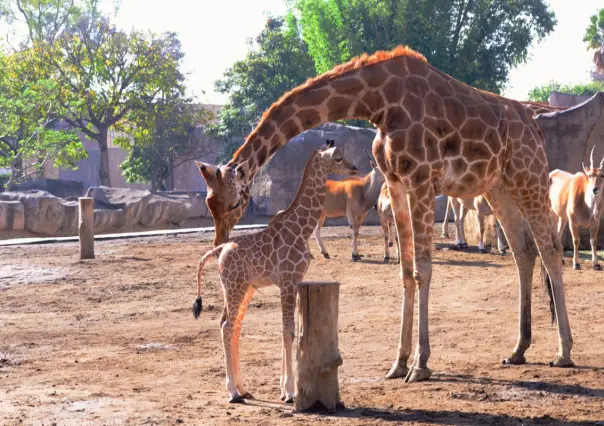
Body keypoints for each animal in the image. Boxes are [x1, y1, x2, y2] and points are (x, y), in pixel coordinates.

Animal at [191, 141, 356, 404]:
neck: (301, 229)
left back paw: (243, 388)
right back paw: (232, 392)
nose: (355, 168)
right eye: (338, 158)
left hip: (244, 288)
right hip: (235, 287)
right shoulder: (287, 281)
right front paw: (289, 392)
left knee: (232, 326)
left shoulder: (296, 282)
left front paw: (283, 388)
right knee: (227, 325)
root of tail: (220, 249)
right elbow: (287, 331)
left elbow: (292, 330)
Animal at [198, 45, 576, 382]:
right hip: (498, 186)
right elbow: (405, 271)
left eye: (234, 203)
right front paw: (399, 363)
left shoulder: (422, 180)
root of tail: (536, 127)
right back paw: (518, 350)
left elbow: (423, 269)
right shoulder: (396, 183)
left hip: (529, 175)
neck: (377, 103)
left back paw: (564, 352)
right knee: (523, 253)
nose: (219, 244)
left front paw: (421, 365)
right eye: (209, 204)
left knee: (550, 249)